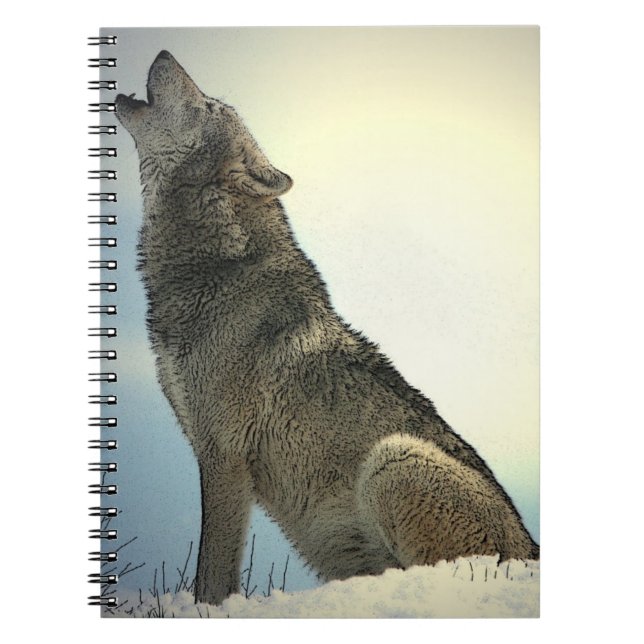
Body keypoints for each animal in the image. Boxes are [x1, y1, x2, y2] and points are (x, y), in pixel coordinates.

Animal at [115, 50, 539, 606]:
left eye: (208, 105)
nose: (164, 53)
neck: (217, 268)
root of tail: (531, 553)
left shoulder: (224, 453)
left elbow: (212, 572)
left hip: (391, 460)